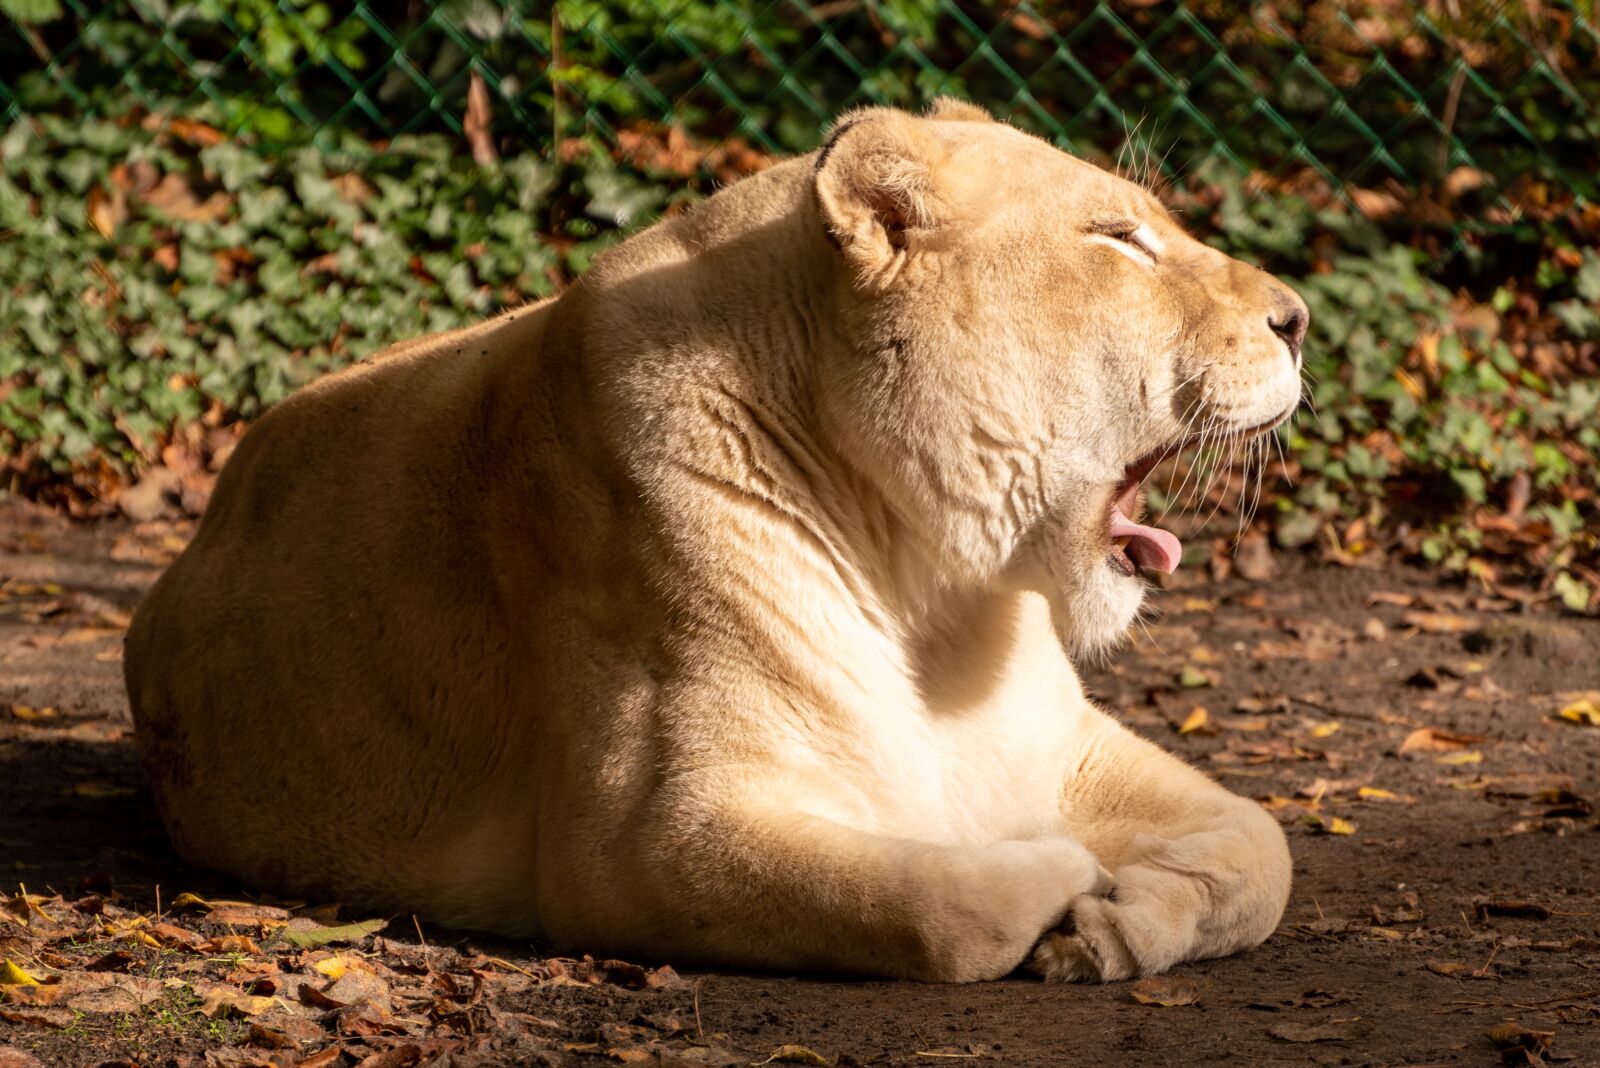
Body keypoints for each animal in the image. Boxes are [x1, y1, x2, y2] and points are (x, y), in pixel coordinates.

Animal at [124, 99, 1307, 983]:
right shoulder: (638, 844)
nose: (1299, 320)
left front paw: (1125, 920)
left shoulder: (1063, 746)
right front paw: (1069, 888)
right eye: (1117, 238)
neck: (931, 589)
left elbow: (1264, 844)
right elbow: (938, 906)